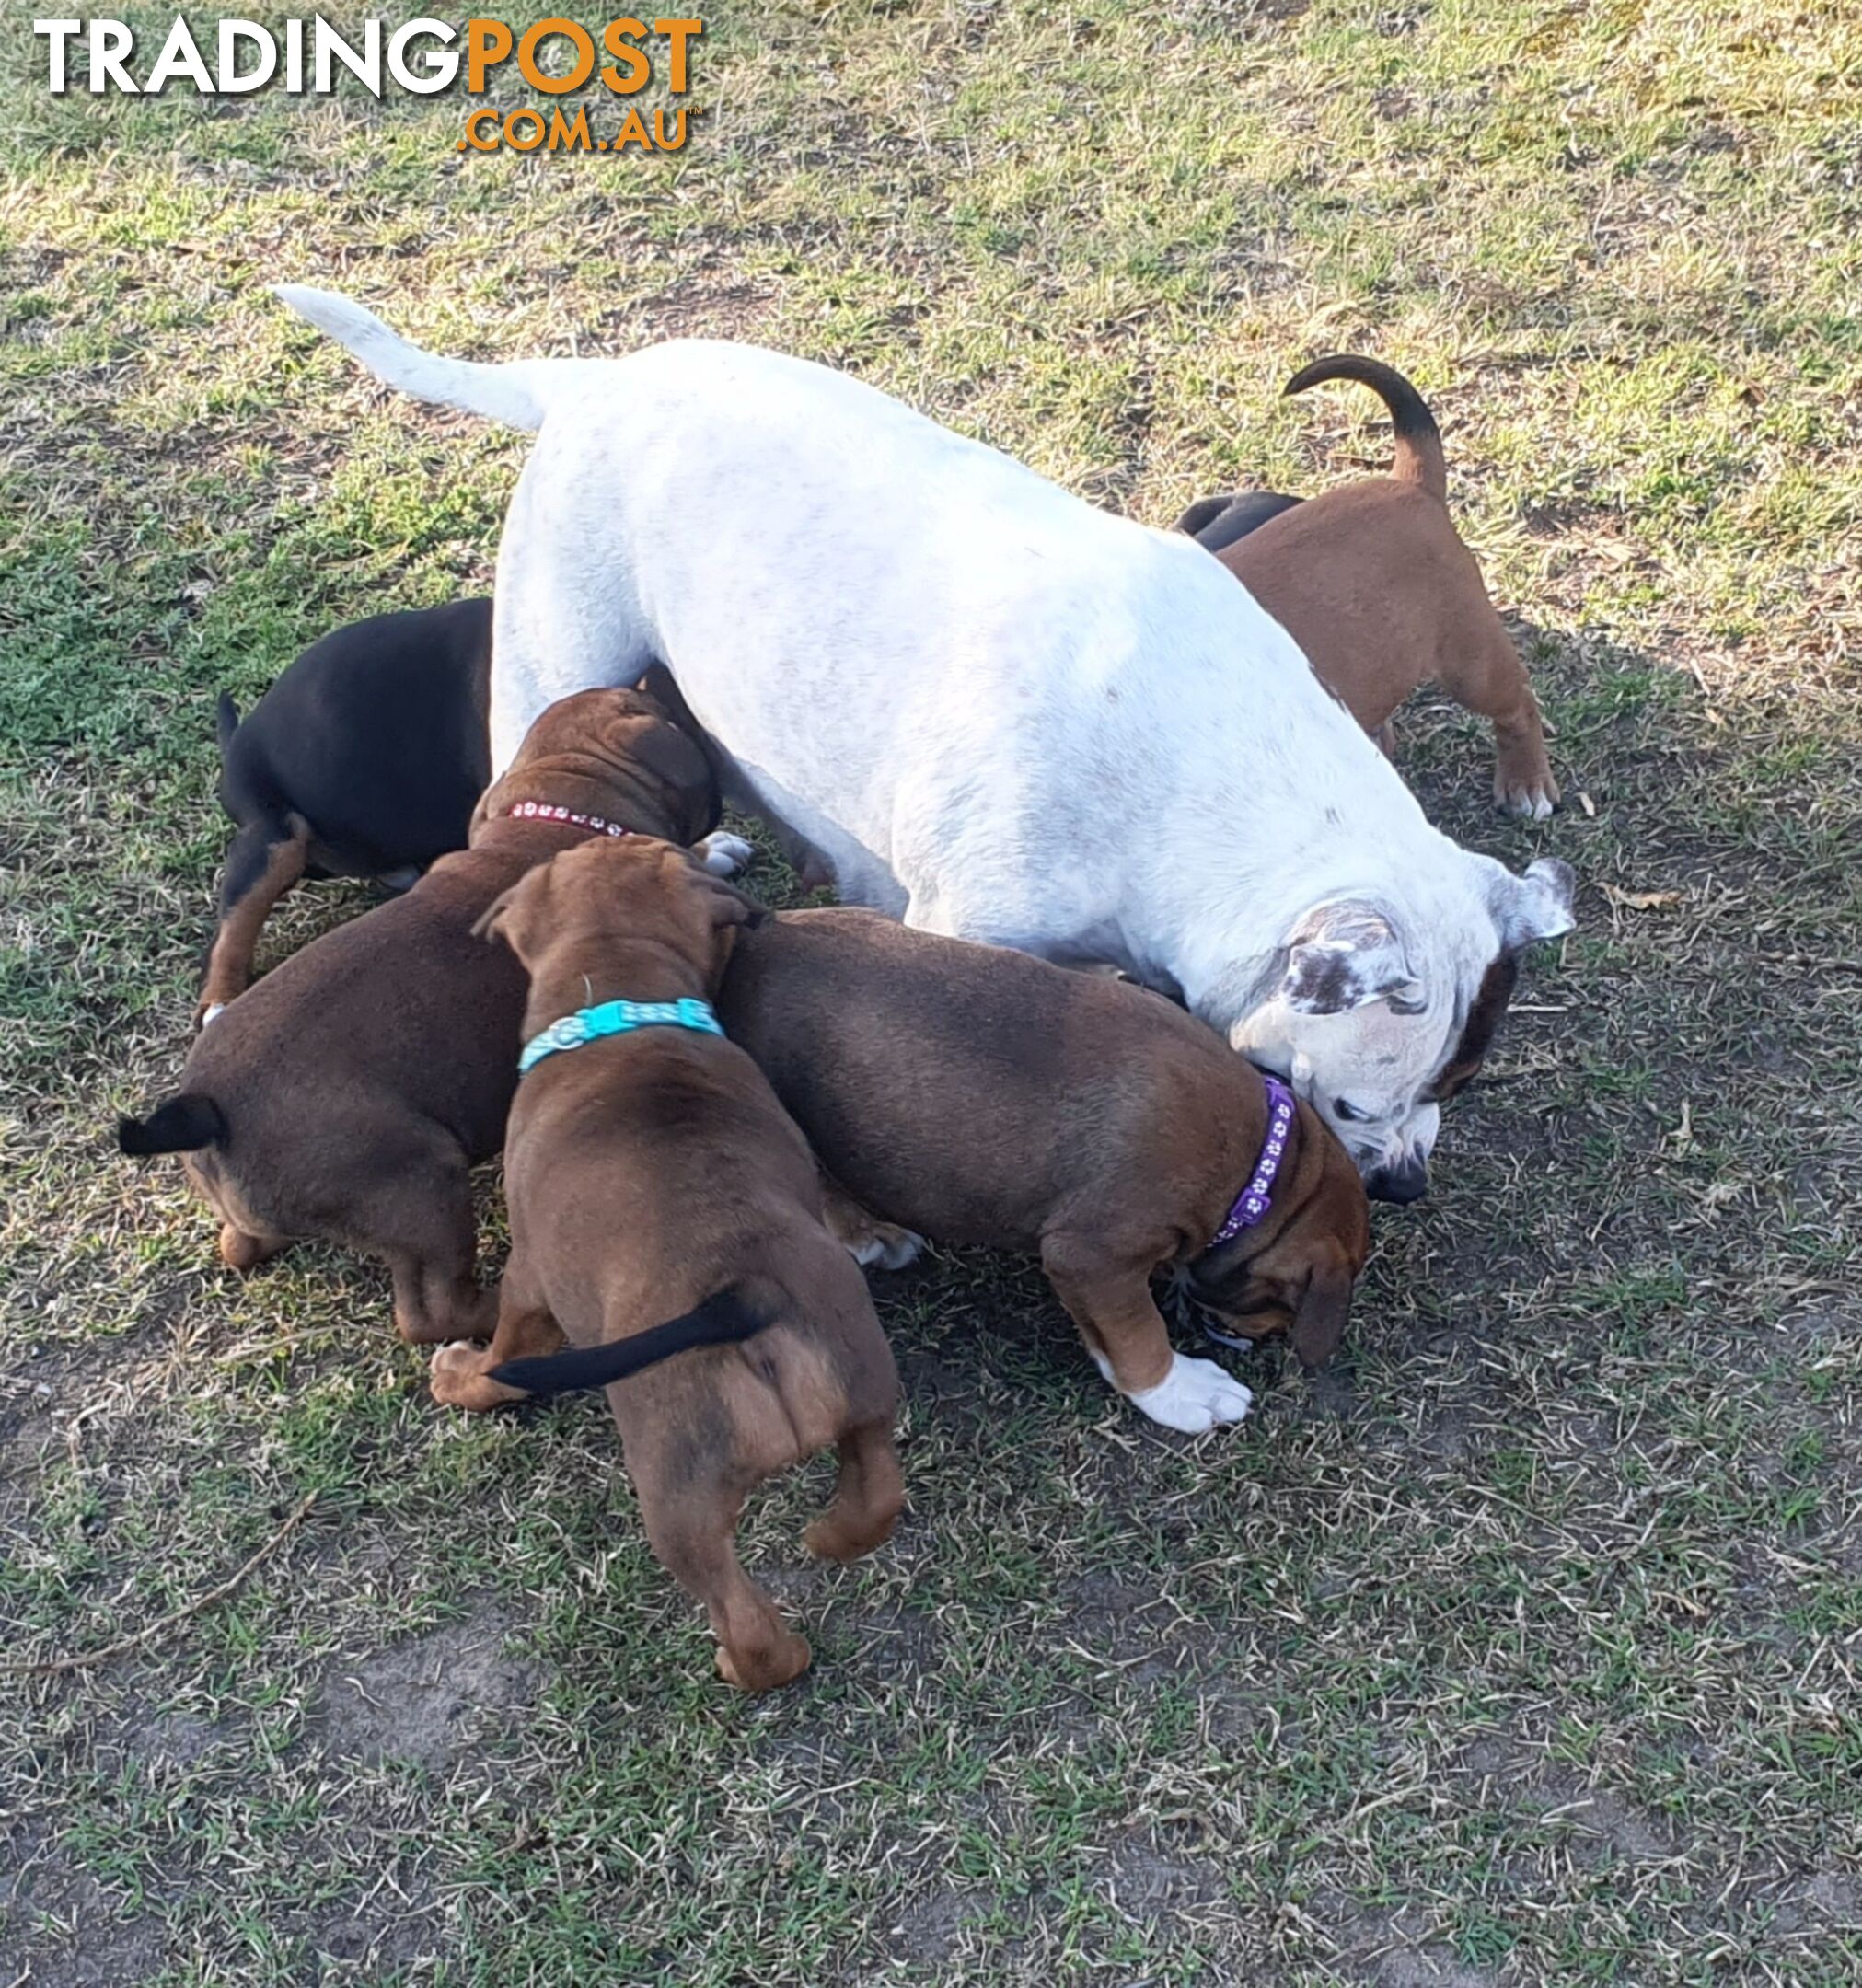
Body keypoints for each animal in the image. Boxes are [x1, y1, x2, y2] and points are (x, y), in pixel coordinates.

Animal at [434, 838, 902, 1693]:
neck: (622, 996)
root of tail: (743, 1295)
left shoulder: (528, 1280)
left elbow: (506, 1354)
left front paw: (463, 1376)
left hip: (675, 1491)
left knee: (747, 1622)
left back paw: (736, 1663)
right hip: (863, 1395)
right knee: (875, 1495)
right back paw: (826, 1540)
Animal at [711, 902, 1367, 1431]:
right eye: (1281, 1306)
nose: (1268, 1337)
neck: (1266, 1173)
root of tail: (759, 938)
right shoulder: (1093, 1256)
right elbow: (1138, 1335)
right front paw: (1181, 1391)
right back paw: (872, 1235)